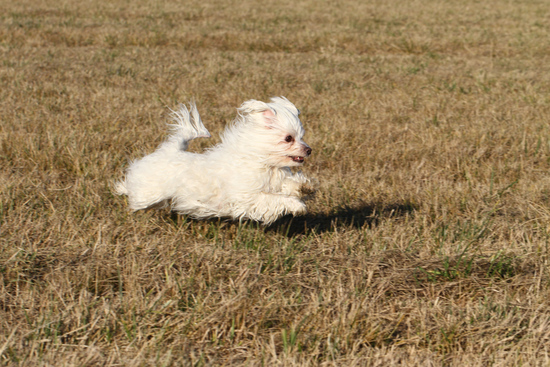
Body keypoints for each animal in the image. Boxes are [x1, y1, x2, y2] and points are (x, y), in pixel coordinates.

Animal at [116, 96, 316, 226]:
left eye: (301, 136)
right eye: (289, 138)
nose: (308, 149)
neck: (262, 161)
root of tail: (170, 150)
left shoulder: (272, 181)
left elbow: (287, 185)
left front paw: (305, 187)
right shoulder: (247, 198)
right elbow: (274, 199)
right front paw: (297, 205)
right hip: (148, 194)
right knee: (135, 193)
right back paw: (123, 188)